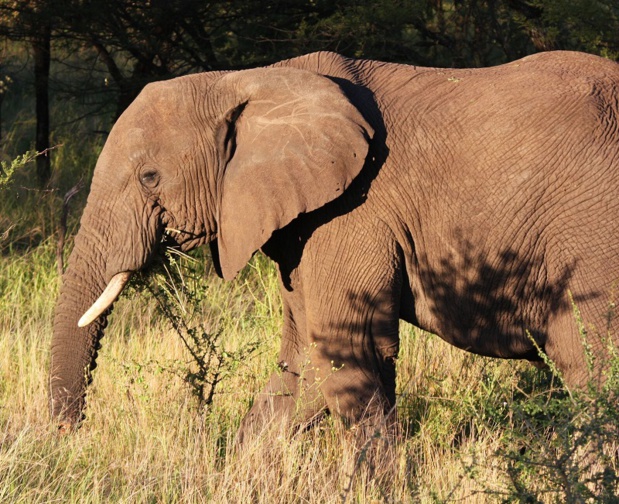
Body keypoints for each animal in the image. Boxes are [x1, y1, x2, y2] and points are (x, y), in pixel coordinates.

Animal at [49, 49, 619, 440]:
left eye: (149, 177)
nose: (69, 438)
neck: (249, 80)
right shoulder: (305, 225)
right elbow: (304, 362)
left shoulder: (353, 212)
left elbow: (350, 347)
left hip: (590, 231)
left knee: (591, 360)